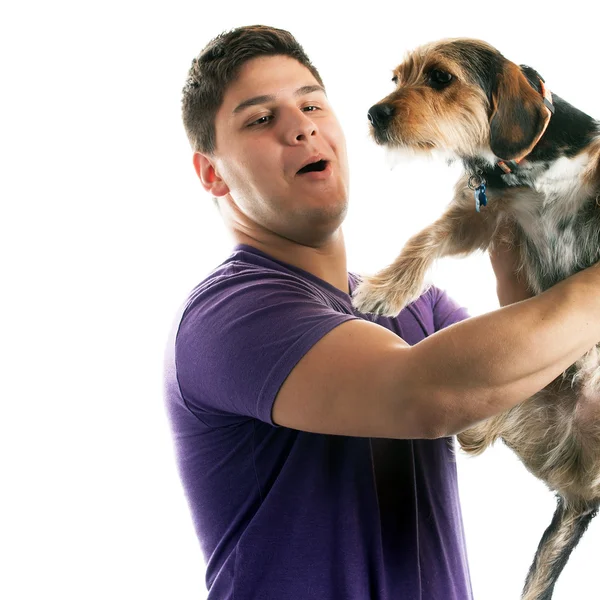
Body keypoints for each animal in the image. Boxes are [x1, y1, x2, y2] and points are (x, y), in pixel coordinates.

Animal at [352, 38, 600, 600]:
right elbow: (424, 238)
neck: (523, 170)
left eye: (441, 78)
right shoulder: (481, 216)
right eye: (396, 78)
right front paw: (385, 290)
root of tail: (581, 489)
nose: (374, 114)